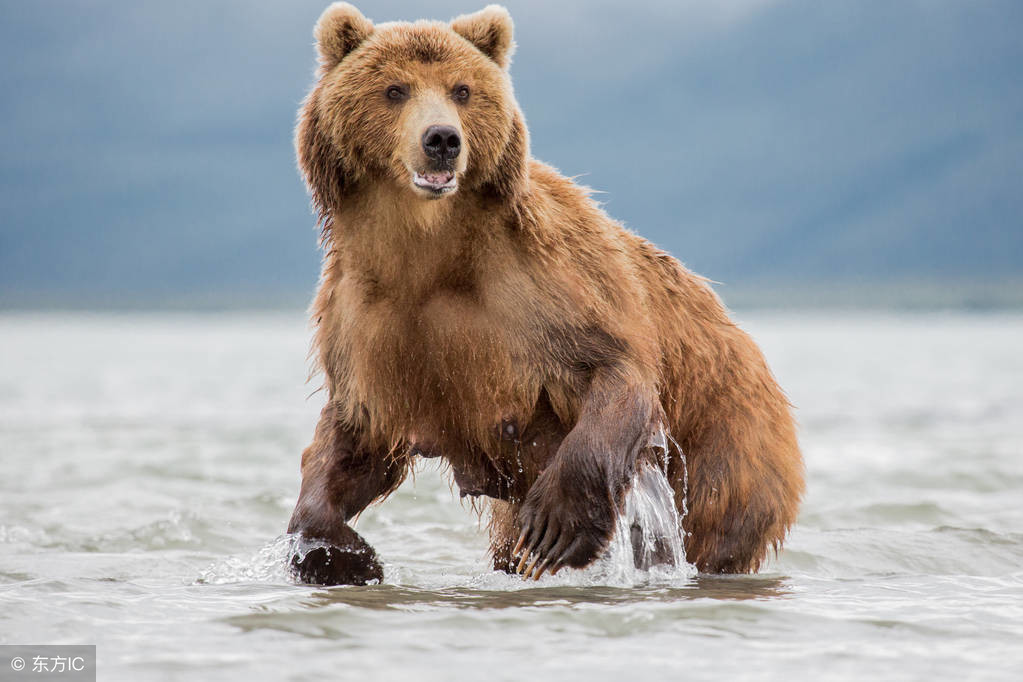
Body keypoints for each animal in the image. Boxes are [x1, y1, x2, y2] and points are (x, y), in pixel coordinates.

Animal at [284, 2, 802, 584]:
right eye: (395, 89)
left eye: (462, 90)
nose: (442, 139)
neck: (428, 251)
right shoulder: (367, 322)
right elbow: (353, 440)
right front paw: (342, 556)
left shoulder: (543, 285)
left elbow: (615, 370)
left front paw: (556, 526)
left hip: (728, 439)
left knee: (710, 522)